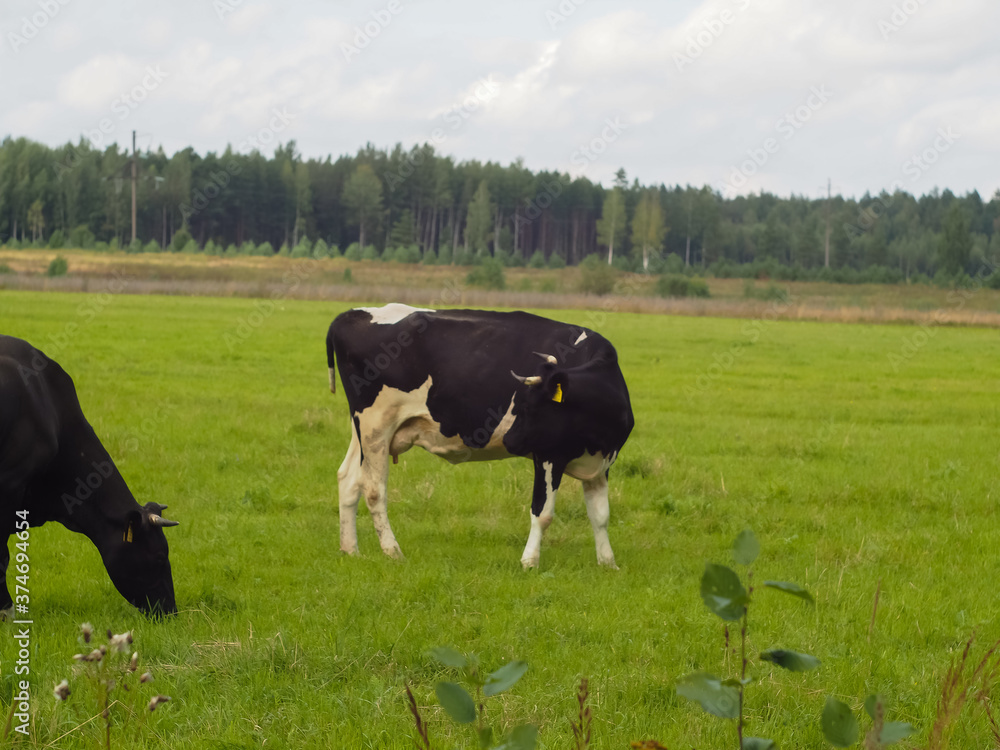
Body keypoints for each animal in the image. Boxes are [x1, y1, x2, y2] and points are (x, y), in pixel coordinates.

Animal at [327, 303, 634, 569]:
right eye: (519, 405)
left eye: (531, 408)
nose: (509, 441)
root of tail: (351, 313)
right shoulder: (548, 455)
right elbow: (543, 512)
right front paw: (529, 561)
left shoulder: (602, 461)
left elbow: (600, 515)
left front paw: (608, 563)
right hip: (375, 425)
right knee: (374, 489)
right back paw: (392, 551)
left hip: (362, 430)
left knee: (348, 478)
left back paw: (350, 549)